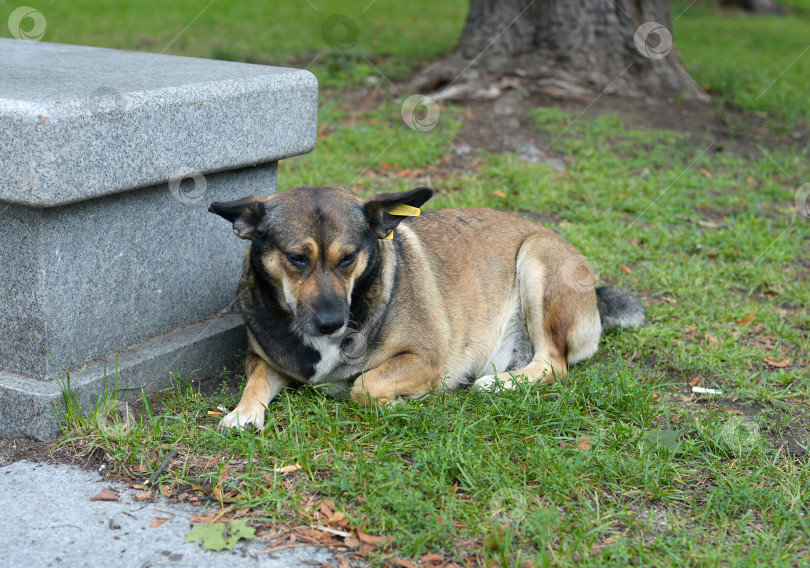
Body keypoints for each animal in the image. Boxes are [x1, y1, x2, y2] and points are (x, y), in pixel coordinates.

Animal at [208, 186, 644, 430]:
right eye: (297, 258)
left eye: (348, 258)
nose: (332, 322)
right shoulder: (264, 359)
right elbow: (255, 382)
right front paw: (244, 412)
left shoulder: (425, 358)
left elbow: (365, 386)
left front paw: (398, 402)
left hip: (536, 257)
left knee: (555, 363)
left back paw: (499, 384)